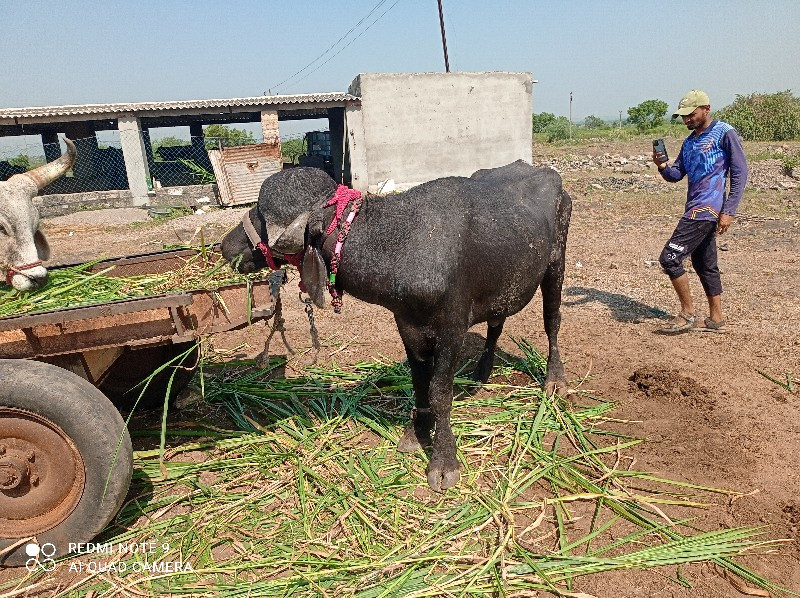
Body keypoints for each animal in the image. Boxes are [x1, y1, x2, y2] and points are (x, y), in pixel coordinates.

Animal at [222, 159, 572, 492]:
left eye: (262, 215)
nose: (225, 246)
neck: (400, 244)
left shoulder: (452, 329)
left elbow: (439, 391)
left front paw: (443, 460)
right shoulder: (407, 325)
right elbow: (419, 383)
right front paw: (417, 433)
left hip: (556, 264)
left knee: (552, 322)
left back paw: (555, 379)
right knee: (496, 324)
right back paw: (481, 373)